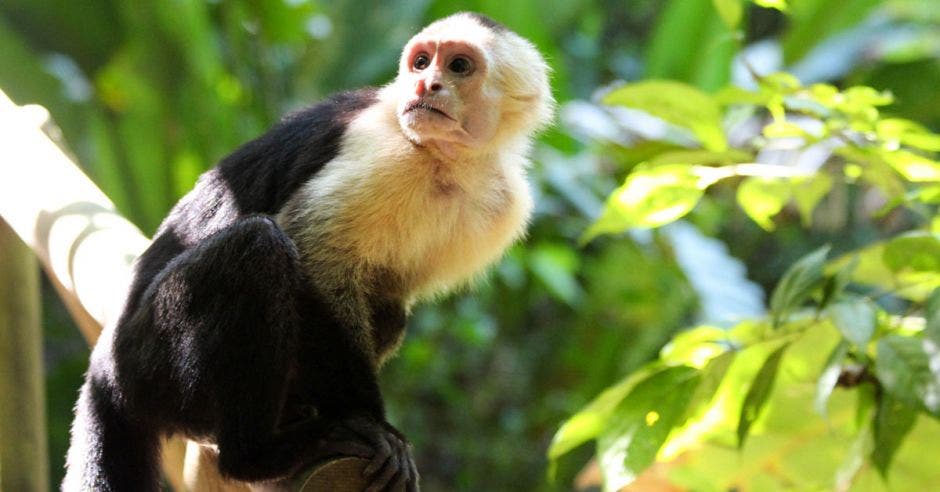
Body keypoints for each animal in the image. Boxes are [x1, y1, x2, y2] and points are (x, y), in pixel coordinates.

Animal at [64, 12, 552, 492]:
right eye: (421, 63)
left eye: (458, 67)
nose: (424, 86)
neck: (444, 161)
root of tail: (106, 367)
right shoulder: (385, 154)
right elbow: (317, 262)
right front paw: (368, 423)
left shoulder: (504, 206)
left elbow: (383, 287)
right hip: (150, 361)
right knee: (258, 248)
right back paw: (255, 455)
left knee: (388, 309)